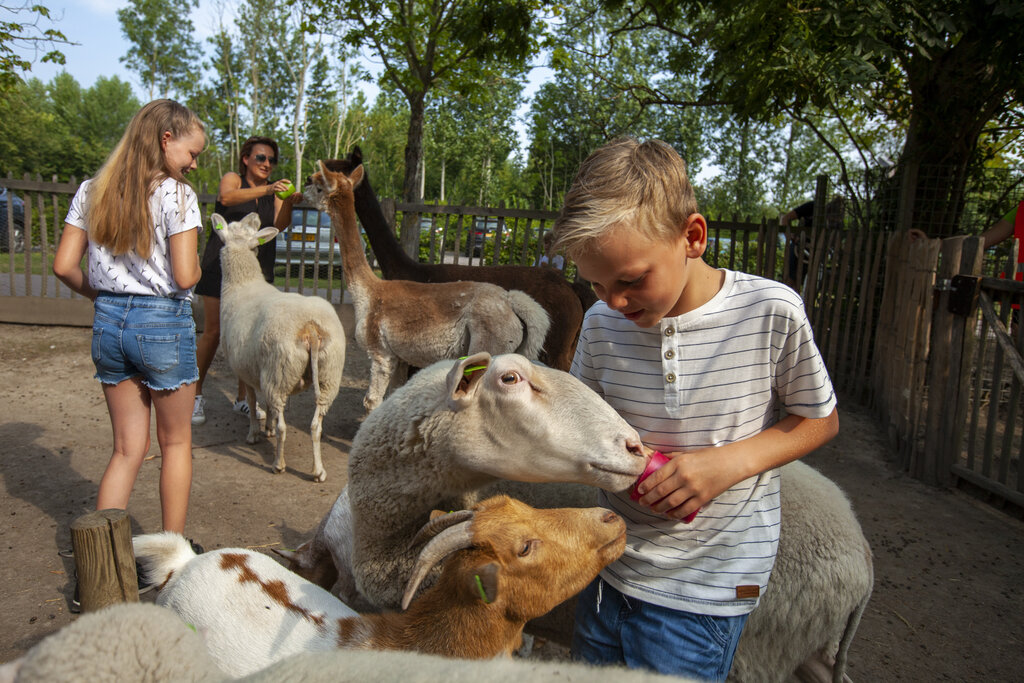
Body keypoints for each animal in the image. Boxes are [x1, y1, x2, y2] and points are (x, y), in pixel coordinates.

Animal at [212, 210, 348, 483]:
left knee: (284, 425)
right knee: (315, 426)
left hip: (279, 371)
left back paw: (278, 464)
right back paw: (318, 471)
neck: (242, 283)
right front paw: (266, 430)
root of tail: (310, 328)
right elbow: (267, 407)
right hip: (327, 374)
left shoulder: (246, 370)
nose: (255, 212)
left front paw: (254, 433)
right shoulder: (258, 369)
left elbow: (253, 401)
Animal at [305, 162, 552, 413]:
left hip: (489, 344)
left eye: (316, 184)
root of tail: (511, 301)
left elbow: (372, 401)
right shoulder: (400, 356)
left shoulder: (380, 353)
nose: (301, 191)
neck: (368, 291)